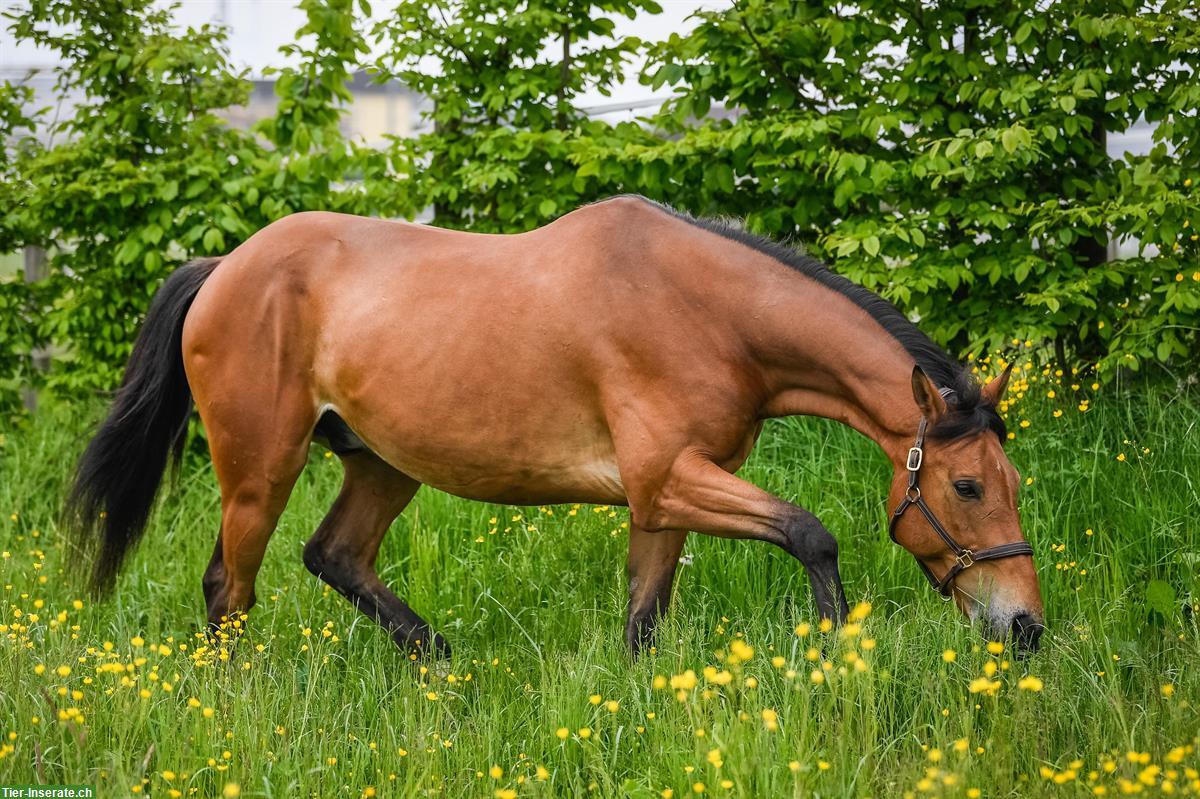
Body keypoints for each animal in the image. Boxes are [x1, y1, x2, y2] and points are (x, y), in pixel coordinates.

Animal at [63, 193, 1041, 652]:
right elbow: (812, 533)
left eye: (1011, 481)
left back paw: (444, 664)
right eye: (965, 484)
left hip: (382, 463)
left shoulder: (660, 498)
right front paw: (835, 650)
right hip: (258, 470)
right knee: (229, 590)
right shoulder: (671, 478)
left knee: (334, 556)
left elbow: (644, 621)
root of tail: (225, 267)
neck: (708, 313)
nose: (1024, 625)